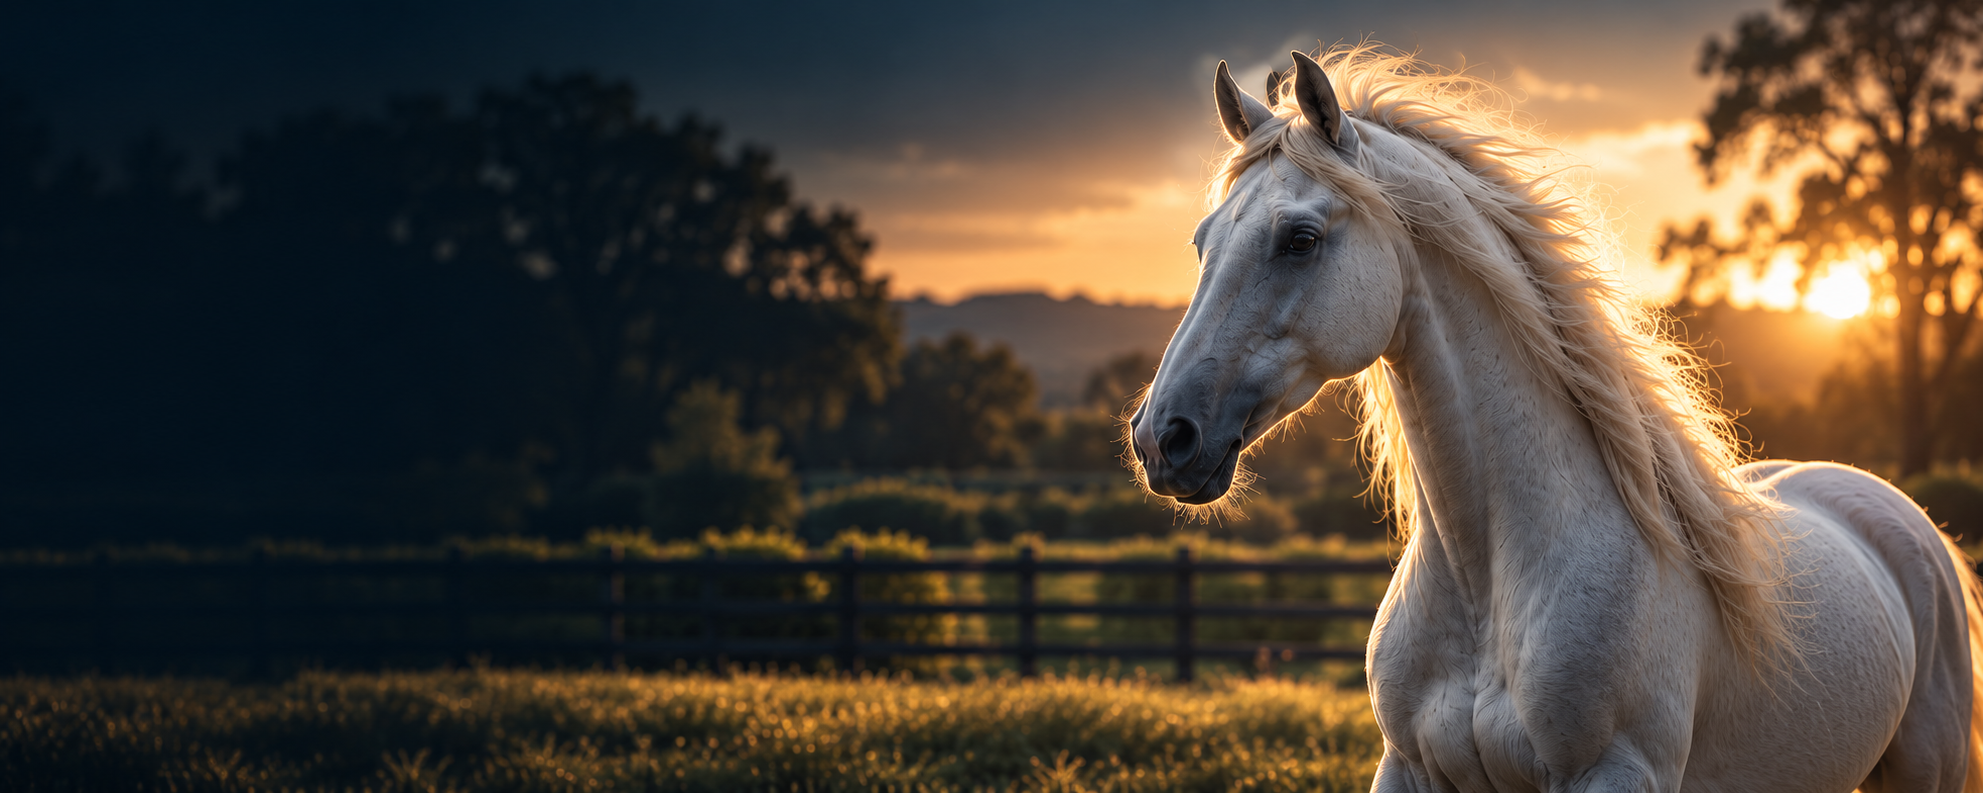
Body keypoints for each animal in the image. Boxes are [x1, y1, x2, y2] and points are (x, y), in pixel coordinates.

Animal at [1127, 46, 1983, 792]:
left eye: (1299, 238)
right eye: (1201, 242)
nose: (1162, 437)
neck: (1486, 583)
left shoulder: (1613, 772)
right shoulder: (1406, 769)